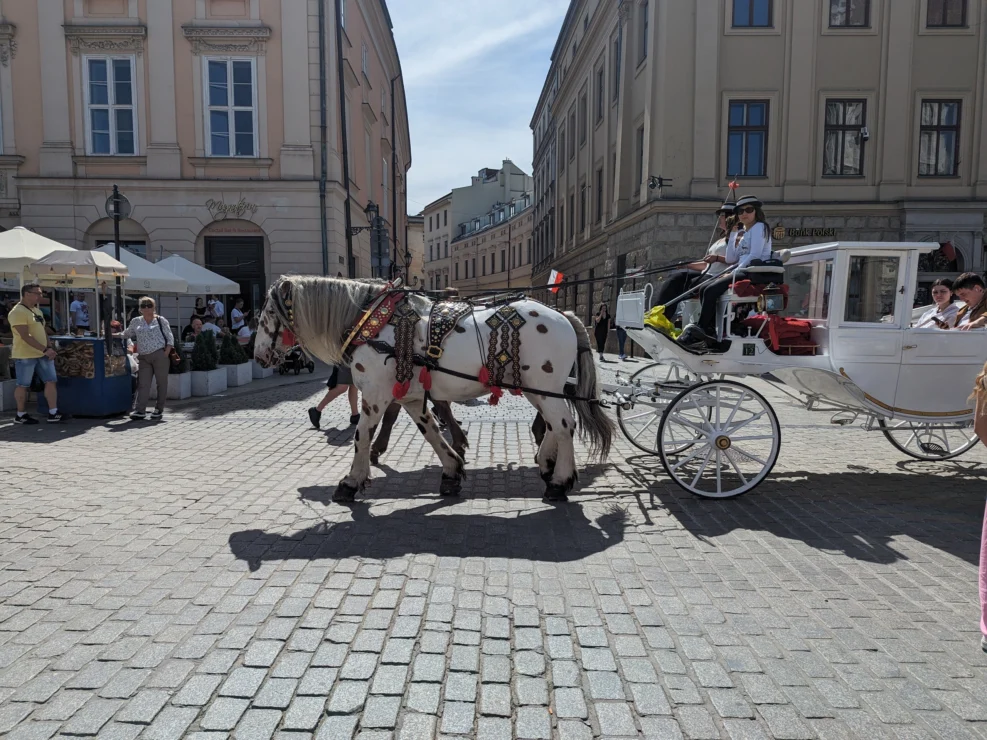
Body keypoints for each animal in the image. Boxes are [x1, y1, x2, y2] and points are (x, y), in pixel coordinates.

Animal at [251, 276, 612, 502]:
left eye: (268, 312)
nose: (258, 356)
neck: (372, 322)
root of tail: (564, 314)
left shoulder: (376, 394)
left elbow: (361, 435)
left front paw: (351, 482)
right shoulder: (410, 396)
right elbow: (431, 431)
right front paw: (452, 470)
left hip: (544, 387)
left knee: (564, 425)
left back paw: (560, 482)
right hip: (540, 389)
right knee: (553, 425)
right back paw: (546, 464)